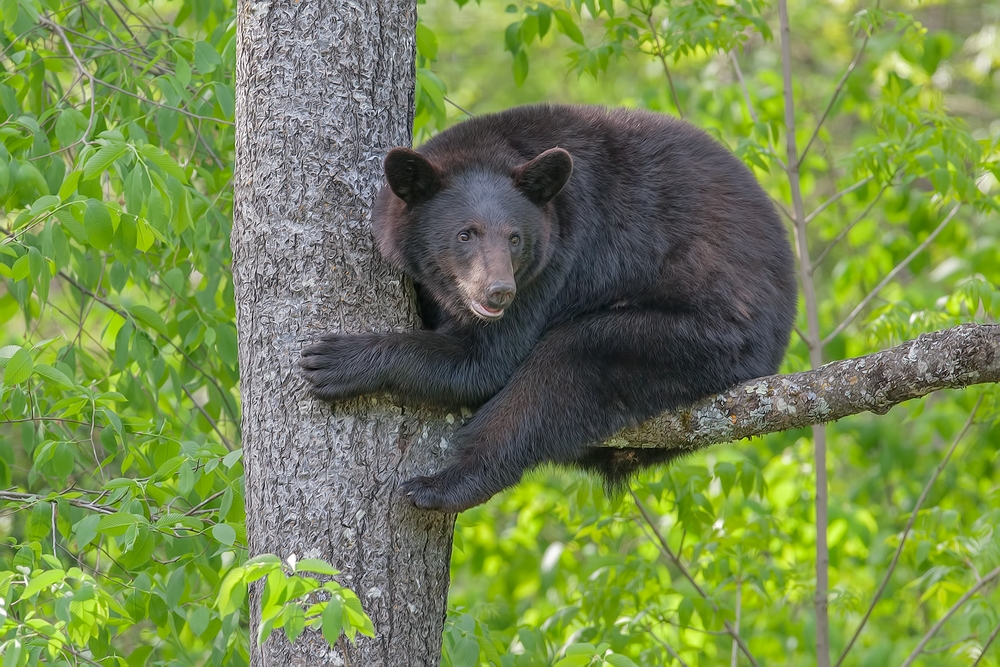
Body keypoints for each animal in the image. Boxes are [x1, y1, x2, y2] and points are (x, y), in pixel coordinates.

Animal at [300, 105, 800, 512]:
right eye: (465, 234)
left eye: (514, 237)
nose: (499, 291)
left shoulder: (557, 262)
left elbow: (484, 362)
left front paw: (338, 360)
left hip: (705, 338)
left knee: (561, 373)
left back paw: (445, 485)